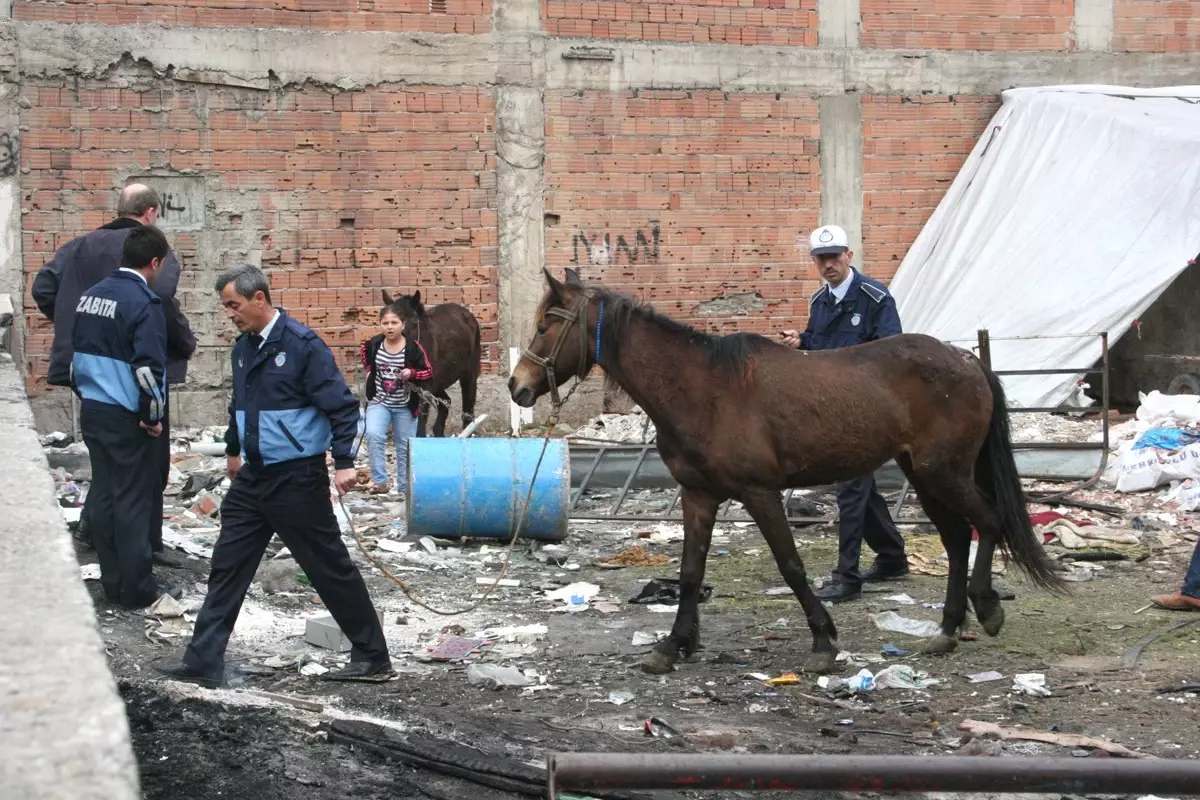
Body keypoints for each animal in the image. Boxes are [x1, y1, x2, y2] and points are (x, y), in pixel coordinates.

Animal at [381, 289, 480, 438]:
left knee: (468, 405)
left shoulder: (424, 388)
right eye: (386, 324)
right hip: (439, 382)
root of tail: (467, 313)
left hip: (469, 373)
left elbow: (420, 420)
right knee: (445, 403)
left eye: (413, 324)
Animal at [511, 268, 1065, 676]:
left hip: (944, 472)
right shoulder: (698, 495)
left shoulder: (760, 493)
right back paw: (947, 631)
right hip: (927, 476)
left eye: (545, 325)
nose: (518, 387)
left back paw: (986, 608)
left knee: (987, 524)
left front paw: (823, 640)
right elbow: (690, 573)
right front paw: (673, 645)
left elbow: (791, 567)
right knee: (955, 539)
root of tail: (968, 361)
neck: (702, 389)